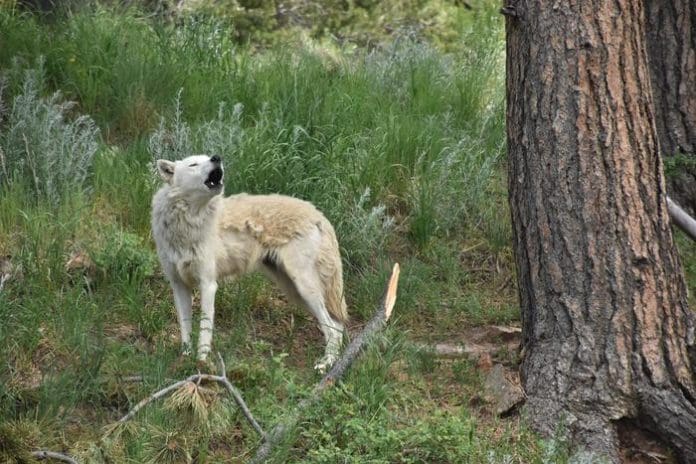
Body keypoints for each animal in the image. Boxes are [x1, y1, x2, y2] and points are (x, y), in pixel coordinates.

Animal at [151, 154, 348, 372]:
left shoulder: (208, 285)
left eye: (207, 157)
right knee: (337, 325)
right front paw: (184, 361)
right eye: (193, 164)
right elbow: (185, 328)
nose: (216, 157)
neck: (189, 223)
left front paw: (201, 365)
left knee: (333, 328)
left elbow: (204, 330)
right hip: (294, 291)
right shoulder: (178, 286)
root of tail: (319, 215)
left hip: (305, 289)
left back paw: (325, 364)